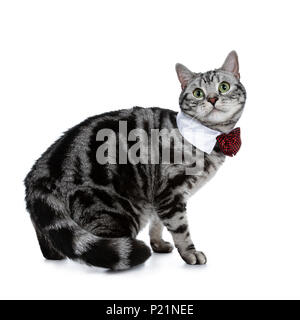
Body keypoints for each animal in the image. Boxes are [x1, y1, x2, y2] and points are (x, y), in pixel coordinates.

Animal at [25, 50, 246, 270]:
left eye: (223, 87)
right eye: (198, 93)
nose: (212, 98)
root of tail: (42, 169)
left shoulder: (158, 196)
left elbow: (157, 223)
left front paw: (158, 244)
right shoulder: (170, 191)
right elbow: (180, 228)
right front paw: (190, 253)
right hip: (115, 211)